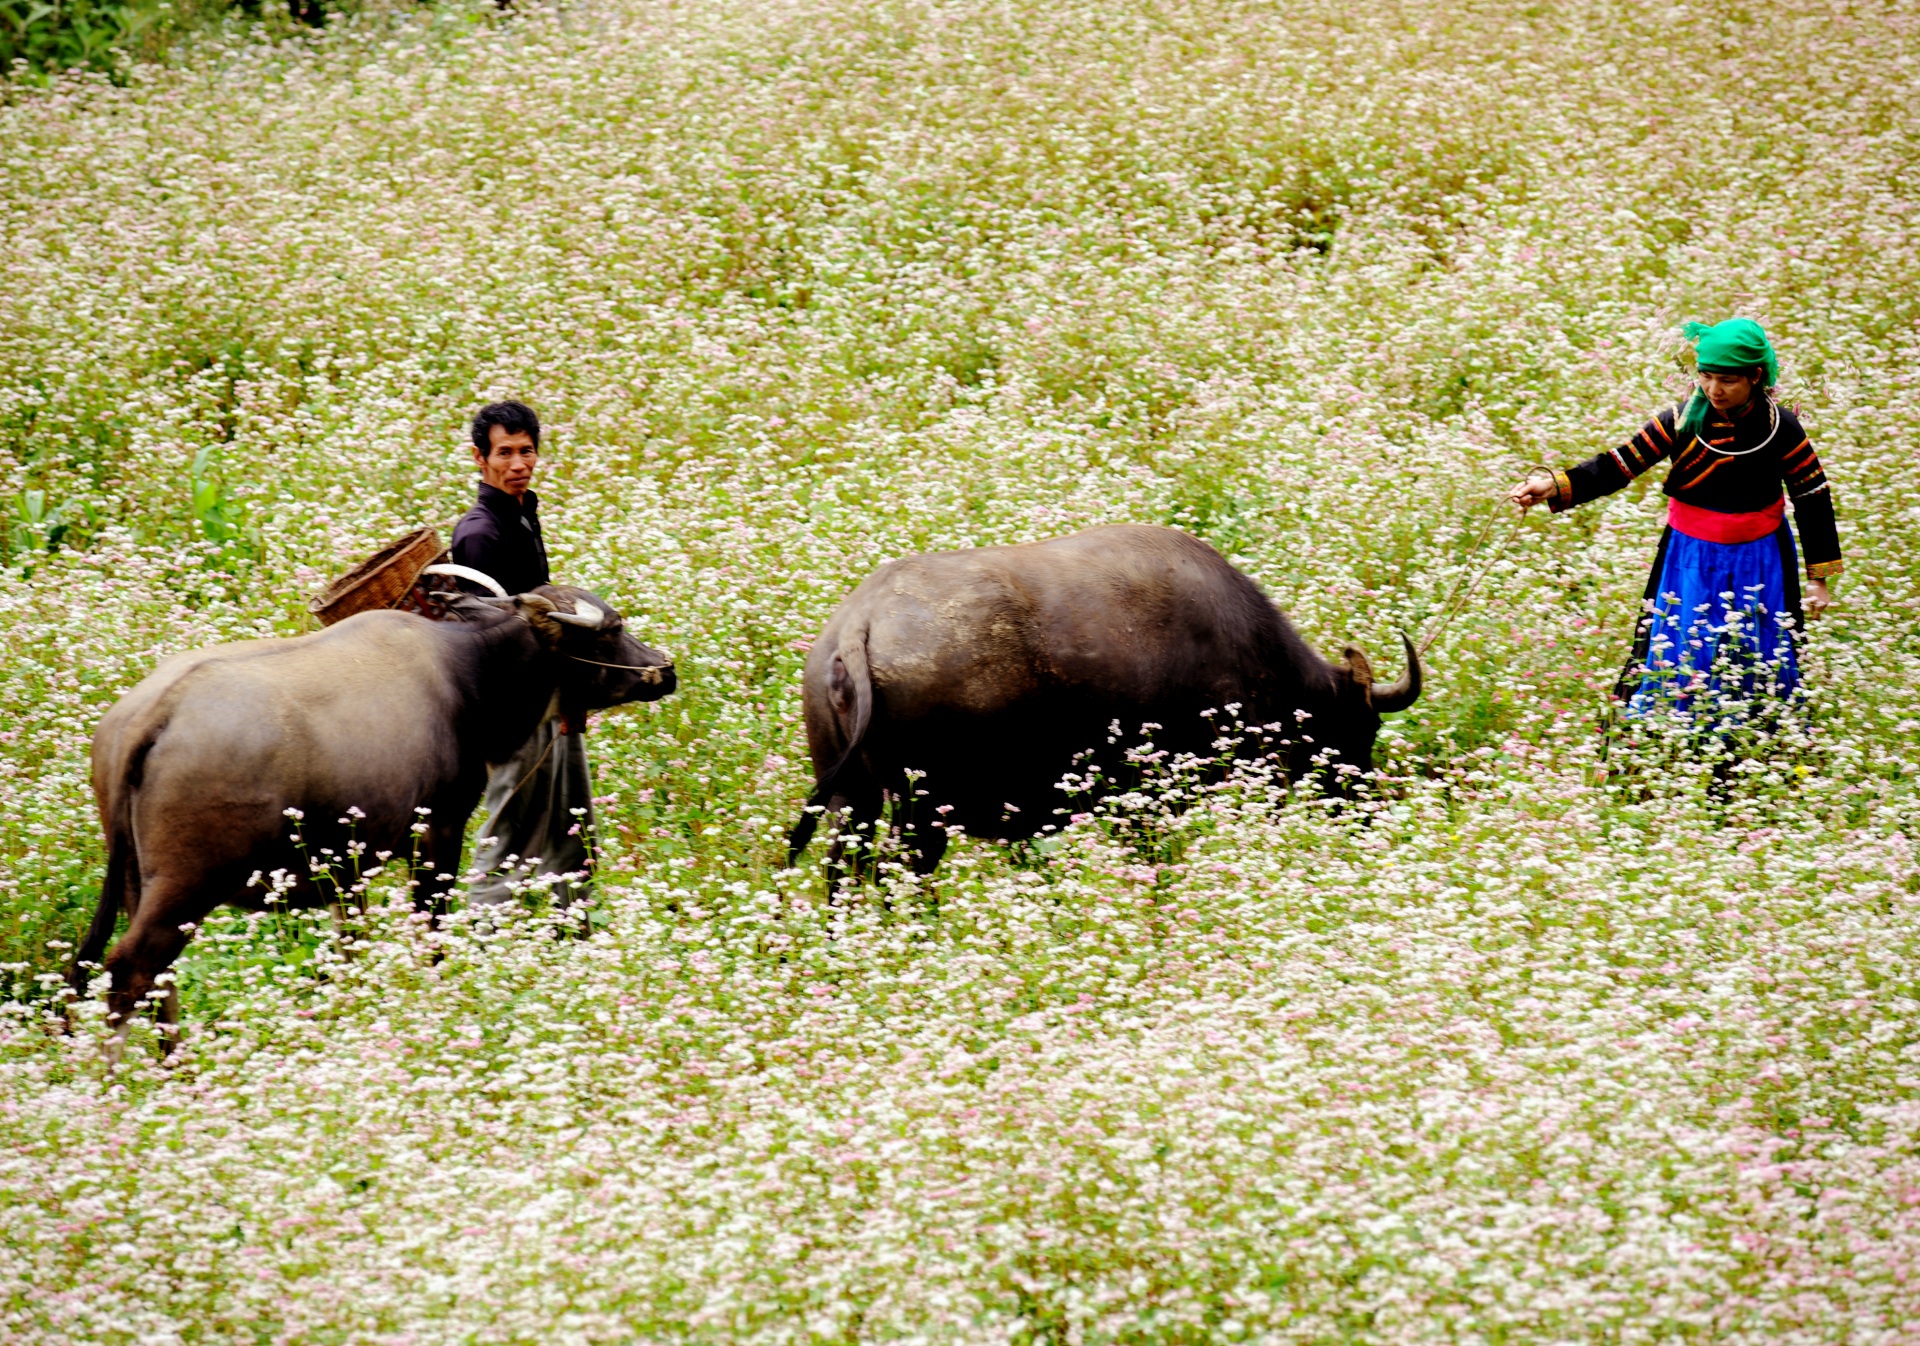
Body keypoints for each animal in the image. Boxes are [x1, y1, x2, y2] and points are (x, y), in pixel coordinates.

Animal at [72, 583, 675, 1036]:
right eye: (614, 629)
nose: (665, 670)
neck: (467, 674)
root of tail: (152, 714)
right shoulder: (439, 830)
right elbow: (430, 929)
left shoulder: (345, 869)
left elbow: (349, 946)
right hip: (186, 886)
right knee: (129, 971)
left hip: (138, 881)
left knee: (156, 982)